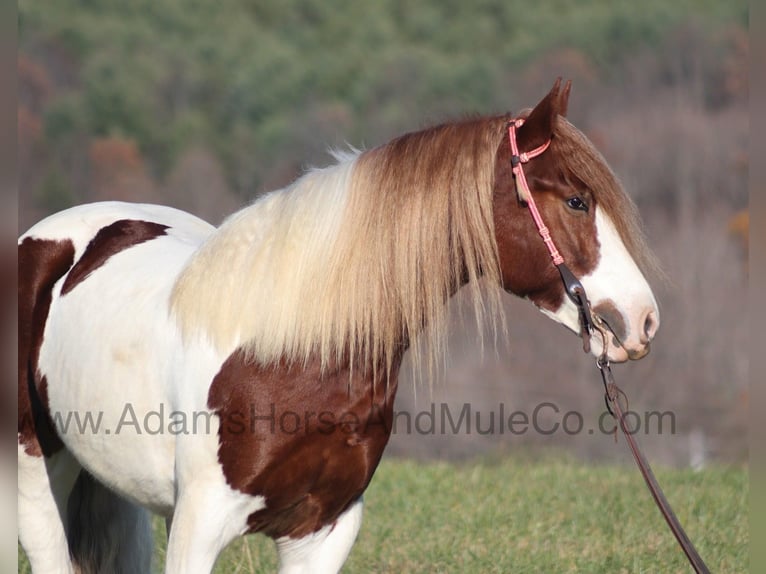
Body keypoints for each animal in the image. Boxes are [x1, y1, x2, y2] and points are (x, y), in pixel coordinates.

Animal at [18, 79, 659, 573]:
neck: (291, 355)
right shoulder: (197, 525)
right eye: (576, 201)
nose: (642, 320)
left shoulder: (322, 531)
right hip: (34, 473)